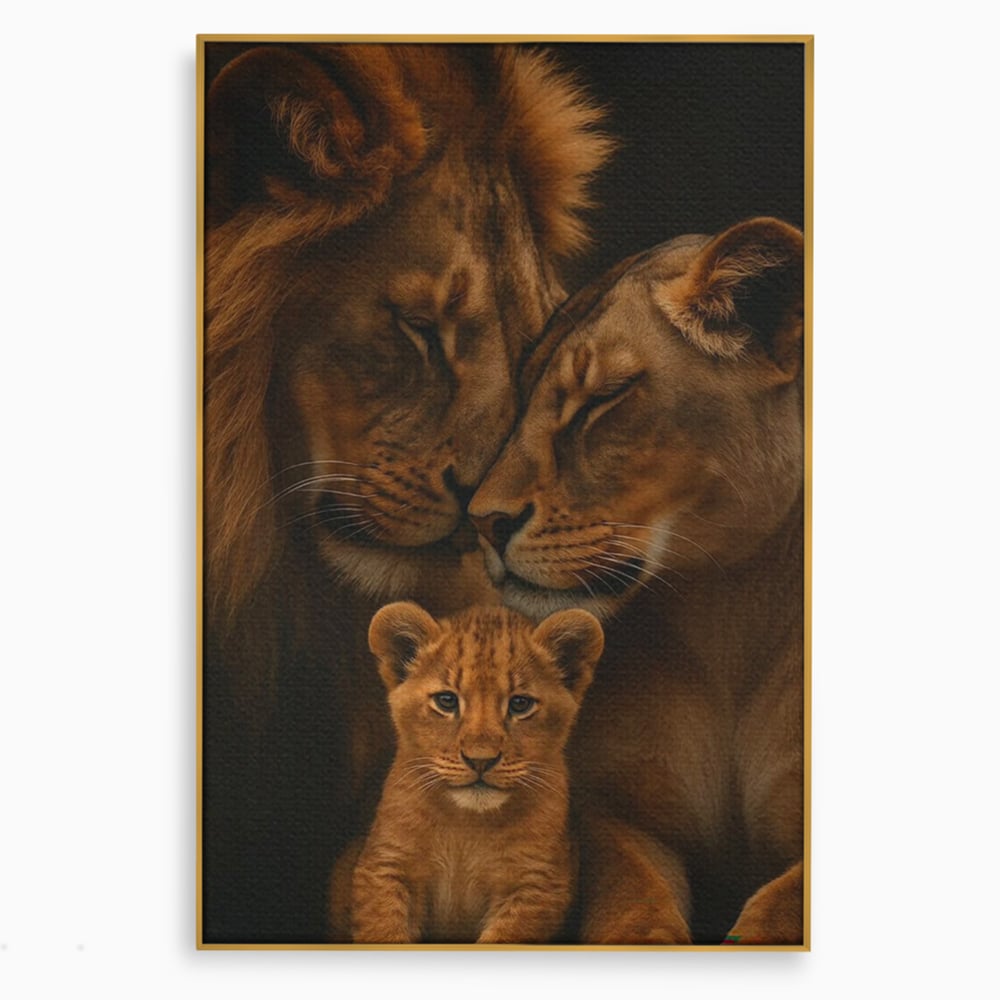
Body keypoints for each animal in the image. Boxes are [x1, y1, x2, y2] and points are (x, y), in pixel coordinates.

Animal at [329, 602, 603, 943]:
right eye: (446, 701)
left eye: (520, 704)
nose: (480, 760)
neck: (467, 825)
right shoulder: (386, 866)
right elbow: (383, 932)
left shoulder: (537, 886)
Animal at [468, 217, 805, 944]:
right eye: (523, 398)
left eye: (602, 399)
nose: (482, 521)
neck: (730, 610)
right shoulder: (613, 812)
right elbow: (630, 901)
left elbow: (778, 908)